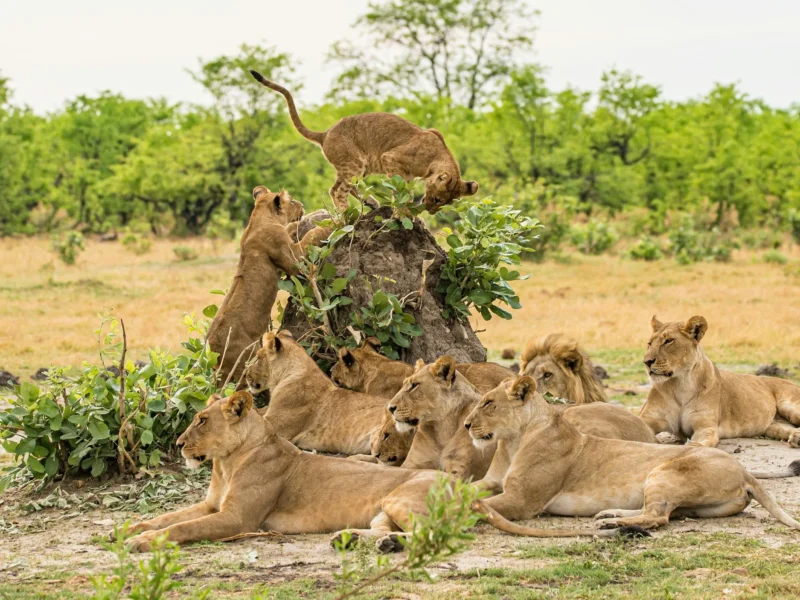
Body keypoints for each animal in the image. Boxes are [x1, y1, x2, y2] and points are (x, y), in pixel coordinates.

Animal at [122, 390, 640, 552]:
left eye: (202, 421)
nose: (179, 445)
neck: (227, 463)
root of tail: (462, 490)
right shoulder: (212, 503)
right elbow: (170, 516)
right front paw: (129, 528)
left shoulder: (236, 519)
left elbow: (183, 529)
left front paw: (143, 542)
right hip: (383, 509)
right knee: (390, 531)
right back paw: (354, 540)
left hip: (400, 495)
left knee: (437, 535)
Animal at [207, 187, 330, 382]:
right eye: (292, 201)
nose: (302, 205)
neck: (259, 219)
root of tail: (211, 350)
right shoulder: (293, 260)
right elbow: (309, 238)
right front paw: (328, 225)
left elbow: (291, 227)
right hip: (242, 362)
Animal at [250, 70, 478, 213]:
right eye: (438, 199)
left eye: (444, 204)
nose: (430, 212)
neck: (436, 157)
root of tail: (325, 133)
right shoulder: (390, 158)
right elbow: (401, 190)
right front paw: (406, 213)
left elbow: (406, 190)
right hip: (355, 162)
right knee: (338, 190)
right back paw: (347, 215)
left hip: (356, 166)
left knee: (342, 187)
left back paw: (370, 203)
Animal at [463, 376, 800, 531]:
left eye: (488, 403)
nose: (466, 425)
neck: (512, 441)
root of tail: (745, 470)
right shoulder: (492, 482)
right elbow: (464, 489)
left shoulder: (522, 501)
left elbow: (472, 504)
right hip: (698, 508)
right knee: (668, 513)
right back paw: (610, 515)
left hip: (664, 472)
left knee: (658, 517)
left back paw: (612, 524)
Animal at [641, 315, 800, 448]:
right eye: (649, 343)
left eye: (668, 341)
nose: (646, 362)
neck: (680, 384)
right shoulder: (648, 418)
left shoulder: (705, 425)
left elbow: (702, 442)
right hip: (772, 426)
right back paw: (796, 437)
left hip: (790, 407)